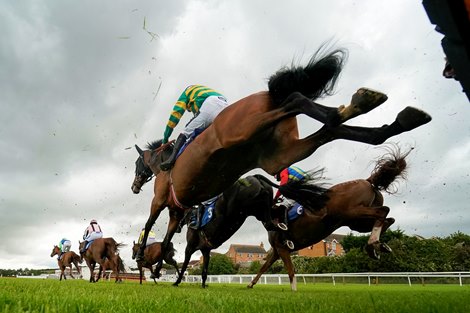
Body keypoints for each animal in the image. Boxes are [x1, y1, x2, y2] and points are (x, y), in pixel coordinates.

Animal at [130, 47, 432, 264]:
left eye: (137, 164)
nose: (134, 187)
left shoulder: (161, 202)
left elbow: (150, 223)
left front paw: (144, 254)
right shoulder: (177, 210)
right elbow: (167, 238)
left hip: (244, 131)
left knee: (296, 101)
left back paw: (358, 105)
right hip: (279, 153)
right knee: (331, 129)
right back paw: (388, 118)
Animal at [248, 146, 410, 290]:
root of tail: (367, 180)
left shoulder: (282, 248)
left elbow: (290, 270)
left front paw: (294, 290)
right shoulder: (277, 250)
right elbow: (263, 268)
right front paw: (250, 284)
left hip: (352, 212)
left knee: (384, 211)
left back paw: (373, 243)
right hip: (356, 222)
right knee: (388, 219)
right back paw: (377, 246)